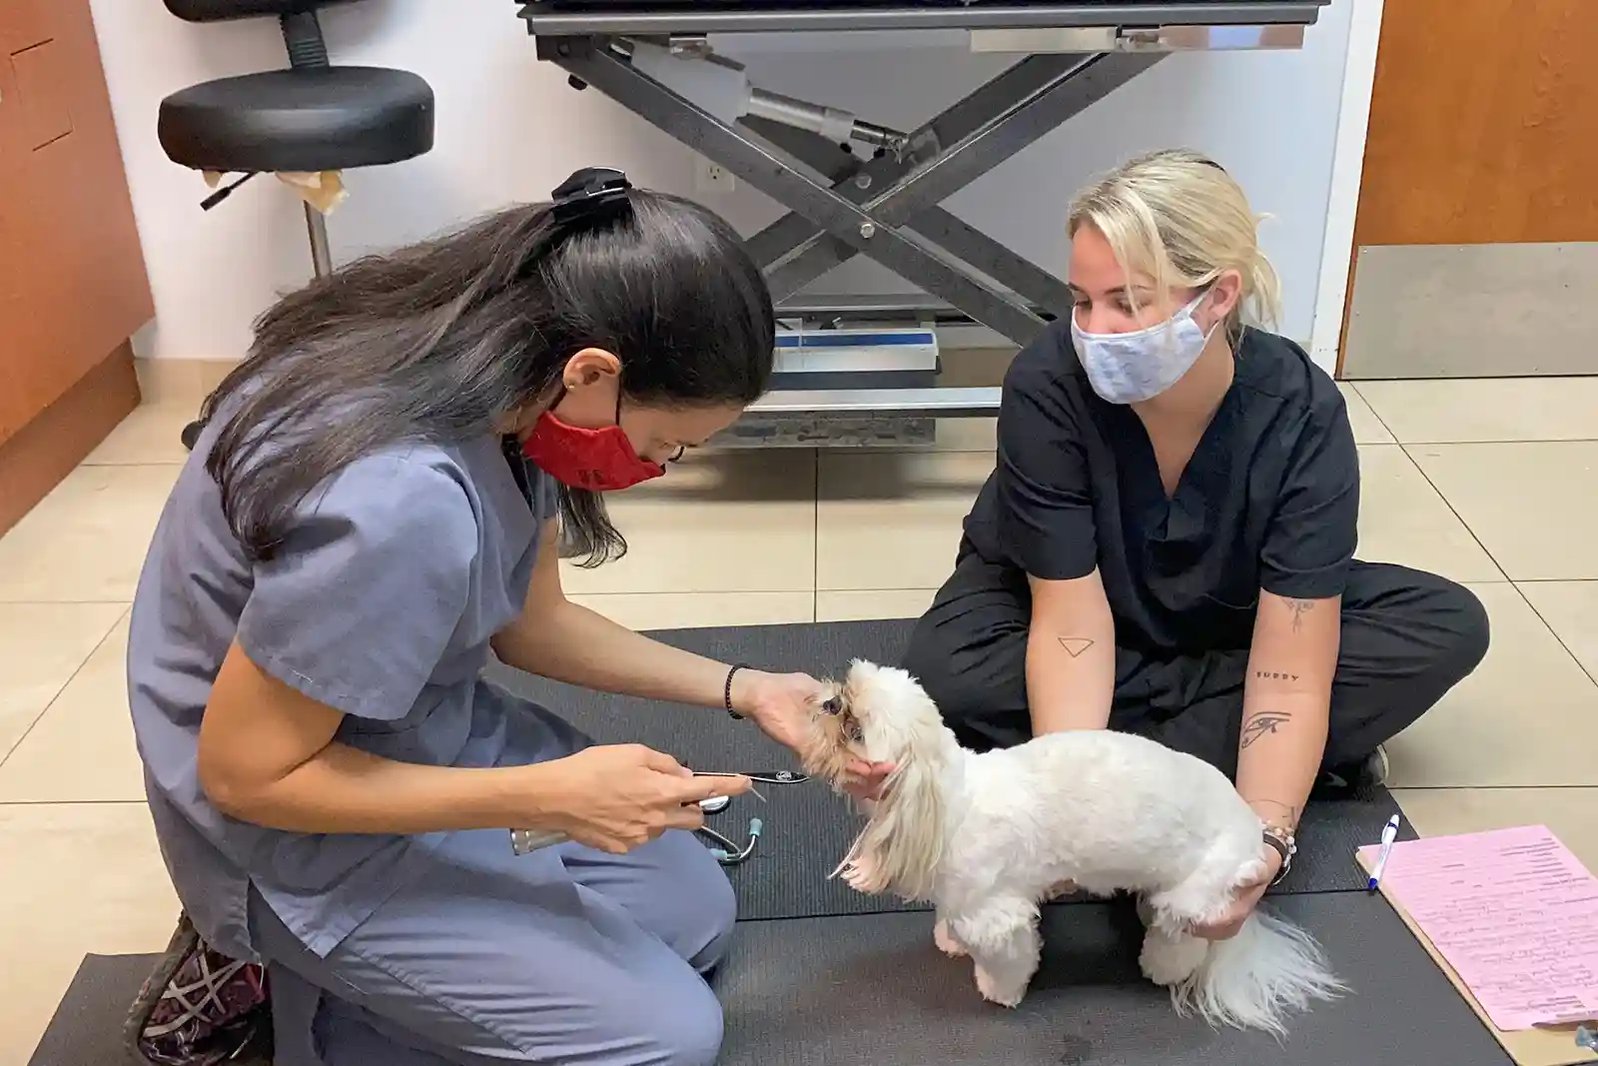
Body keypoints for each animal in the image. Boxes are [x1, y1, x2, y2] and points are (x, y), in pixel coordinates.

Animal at [805, 658, 1342, 1035]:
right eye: (846, 690)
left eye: (854, 729)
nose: (827, 702)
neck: (949, 799)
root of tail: (1250, 826)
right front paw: (950, 938)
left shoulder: (998, 915)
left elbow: (1009, 958)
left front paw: (998, 990)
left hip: (1197, 892)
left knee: (1181, 937)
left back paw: (1160, 967)